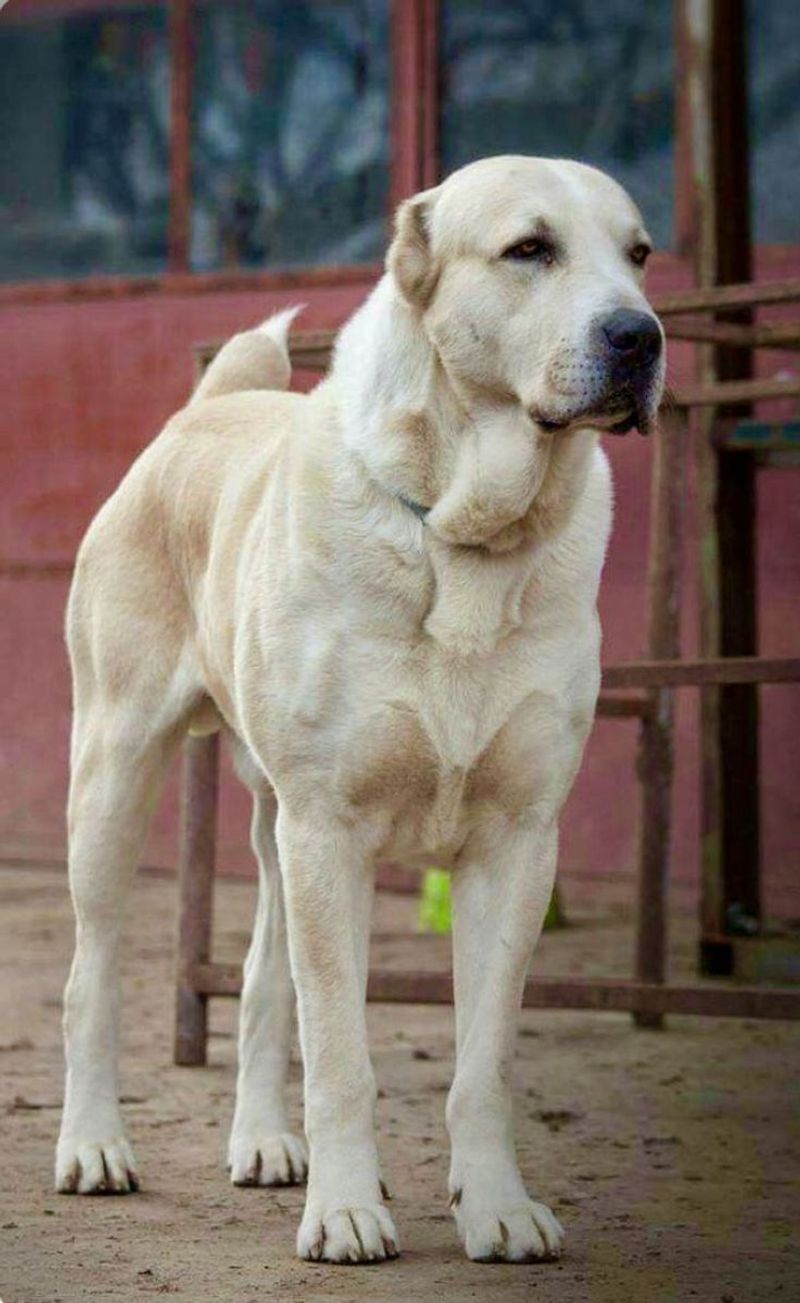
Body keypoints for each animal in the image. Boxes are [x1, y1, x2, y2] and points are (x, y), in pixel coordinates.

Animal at [56, 155, 667, 1261]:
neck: (468, 535)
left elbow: (483, 1062)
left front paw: (498, 1206)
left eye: (639, 254)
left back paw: (262, 1141)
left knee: (264, 979)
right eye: (529, 249)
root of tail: (202, 410)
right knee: (93, 977)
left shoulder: (518, 842)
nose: (639, 336)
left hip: (273, 828)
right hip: (116, 776)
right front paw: (346, 1211)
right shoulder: (330, 830)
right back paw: (92, 1149)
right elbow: (340, 1052)